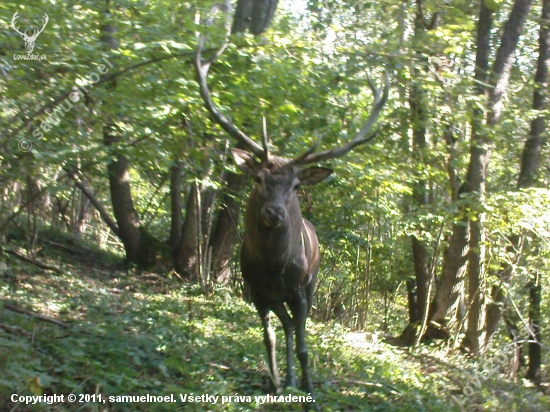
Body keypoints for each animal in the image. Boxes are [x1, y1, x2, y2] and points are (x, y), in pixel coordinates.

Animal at [196, 36, 390, 408]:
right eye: (258, 178)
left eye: (297, 185)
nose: (274, 213)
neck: (274, 267)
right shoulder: (256, 292)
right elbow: (269, 337)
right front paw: (275, 383)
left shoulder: (300, 291)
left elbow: (303, 346)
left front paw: (311, 394)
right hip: (276, 298)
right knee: (284, 327)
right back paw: (286, 380)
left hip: (311, 286)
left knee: (296, 328)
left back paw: (298, 380)